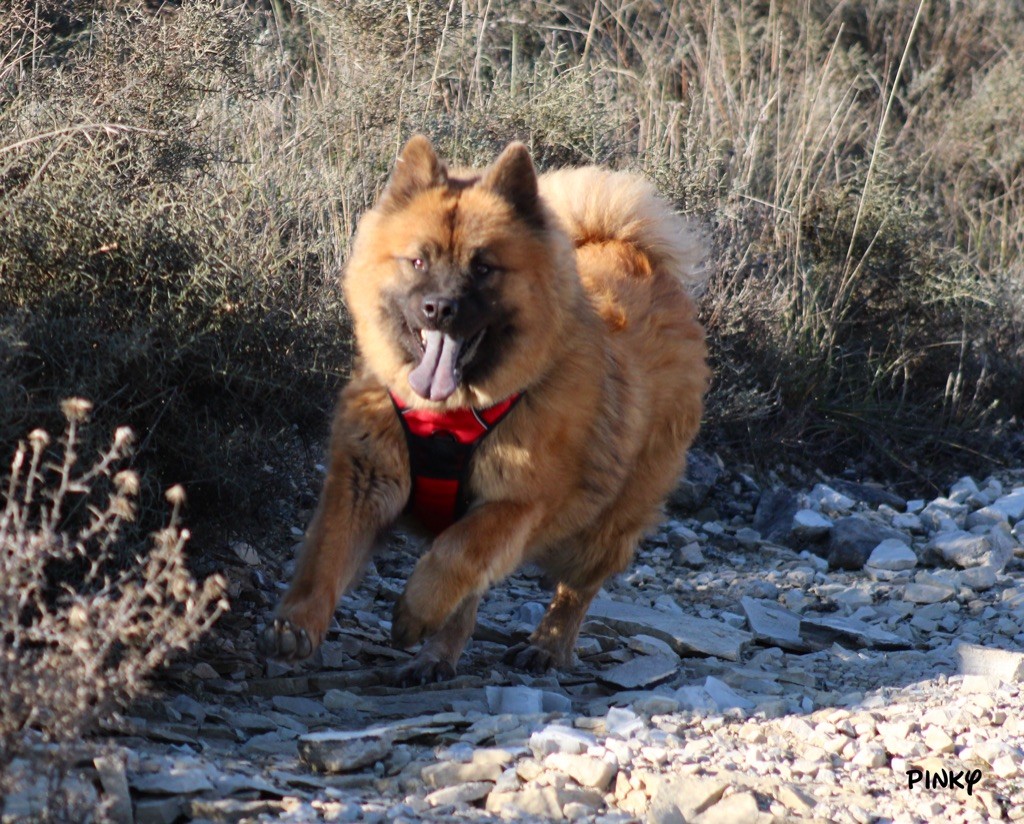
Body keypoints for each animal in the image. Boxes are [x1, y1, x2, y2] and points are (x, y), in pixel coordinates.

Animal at [262, 136, 712, 679]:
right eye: (418, 261)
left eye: (482, 267)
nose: (439, 307)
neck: (448, 416)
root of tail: (631, 249)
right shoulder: (363, 481)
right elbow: (326, 556)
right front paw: (297, 623)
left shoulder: (513, 504)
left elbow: (454, 554)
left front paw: (415, 611)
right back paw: (438, 657)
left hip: (603, 525)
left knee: (574, 591)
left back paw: (545, 646)